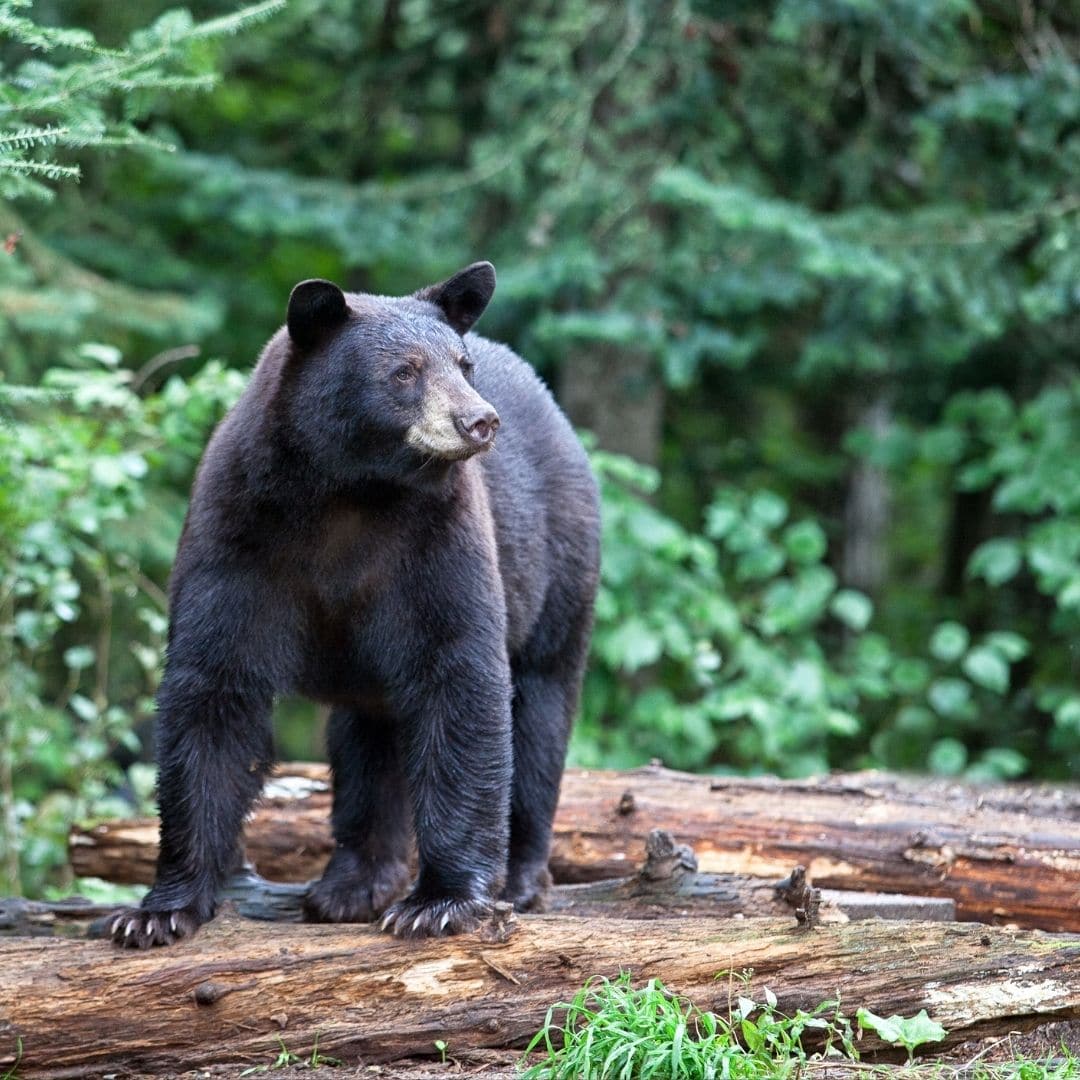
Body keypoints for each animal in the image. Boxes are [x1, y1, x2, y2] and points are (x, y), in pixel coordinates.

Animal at [109, 261, 601, 947]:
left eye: (462, 363)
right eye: (404, 371)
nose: (480, 421)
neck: (350, 491)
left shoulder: (437, 542)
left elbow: (460, 677)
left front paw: (440, 902)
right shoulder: (237, 534)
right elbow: (213, 688)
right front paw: (158, 910)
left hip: (558, 567)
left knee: (540, 711)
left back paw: (522, 878)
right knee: (368, 740)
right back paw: (352, 883)